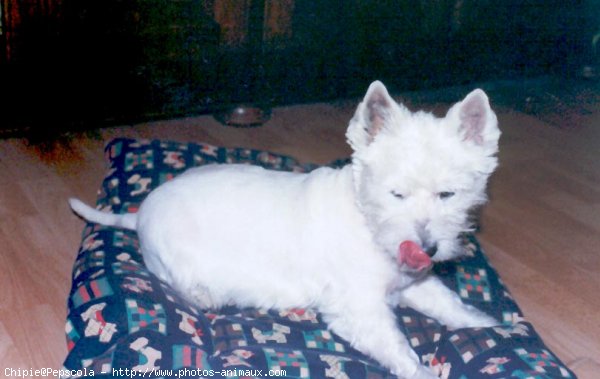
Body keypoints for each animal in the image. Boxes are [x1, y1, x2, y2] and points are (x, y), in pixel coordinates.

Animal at [70, 81, 502, 378]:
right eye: (397, 193)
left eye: (448, 194)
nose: (426, 249)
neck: (367, 221)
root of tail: (140, 213)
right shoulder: (358, 309)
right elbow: (398, 347)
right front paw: (426, 368)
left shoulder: (413, 282)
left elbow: (448, 303)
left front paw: (490, 326)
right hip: (176, 257)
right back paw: (206, 295)